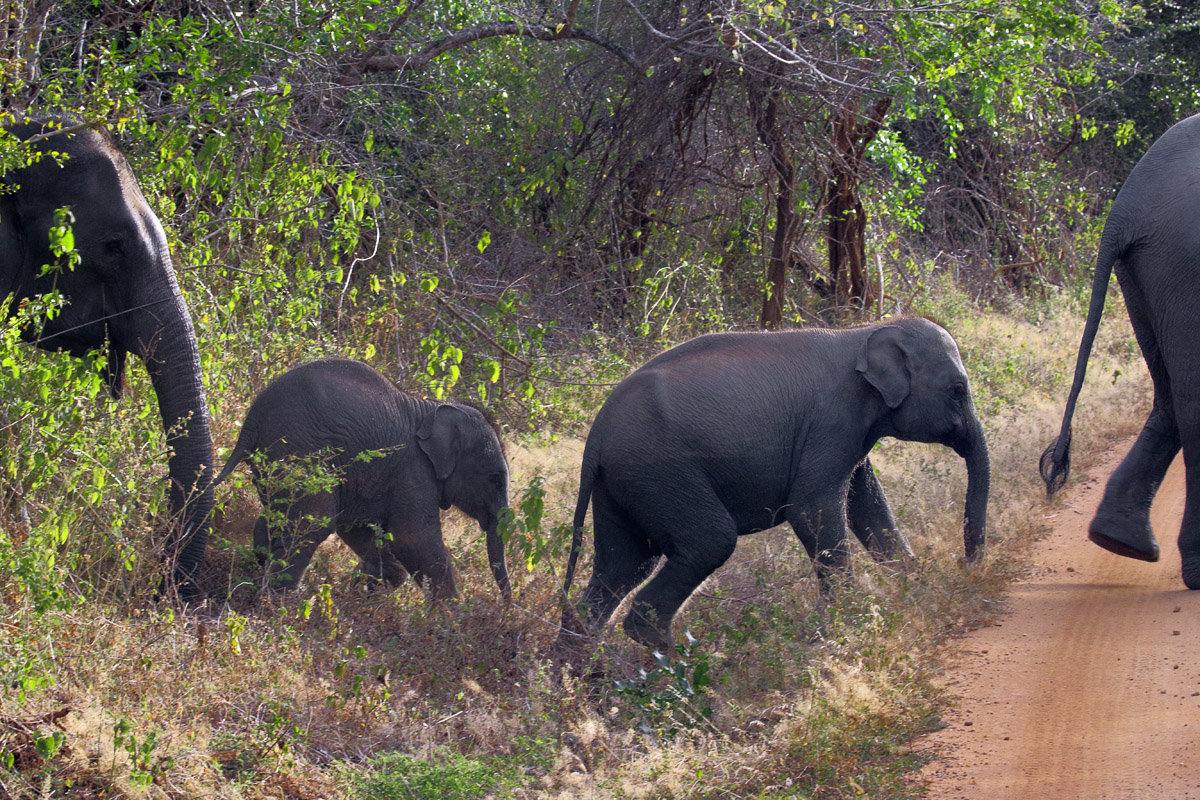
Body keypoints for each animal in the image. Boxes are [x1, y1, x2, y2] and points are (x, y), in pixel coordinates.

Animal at [212, 357, 511, 599]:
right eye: (495, 479)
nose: (506, 605)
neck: (434, 410)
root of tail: (251, 421)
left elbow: (358, 529)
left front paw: (367, 590)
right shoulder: (414, 471)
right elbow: (413, 540)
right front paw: (452, 617)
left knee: (276, 518)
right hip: (301, 451)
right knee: (312, 523)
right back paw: (280, 602)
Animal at [556, 316, 988, 652]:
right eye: (957, 390)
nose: (963, 563)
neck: (865, 331)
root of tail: (595, 434)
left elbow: (866, 504)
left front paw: (914, 588)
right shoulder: (832, 421)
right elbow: (813, 508)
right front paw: (847, 625)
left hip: (623, 483)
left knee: (623, 566)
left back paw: (583, 674)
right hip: (661, 471)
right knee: (708, 542)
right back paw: (677, 665)